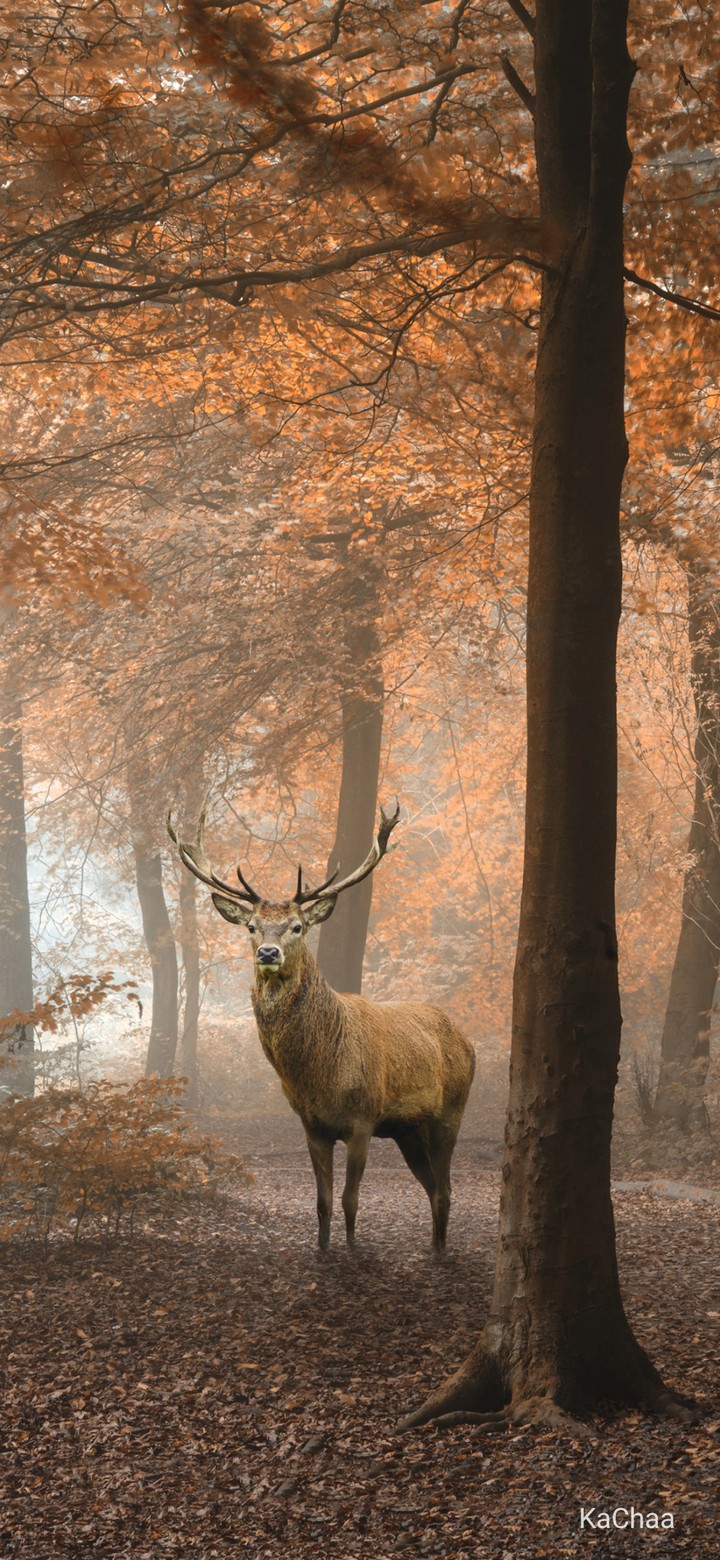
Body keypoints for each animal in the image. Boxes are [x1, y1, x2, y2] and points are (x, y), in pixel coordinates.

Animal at [167, 802, 475, 1253]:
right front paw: (323, 1250)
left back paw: (439, 1252)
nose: (268, 952)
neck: (321, 1074)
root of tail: (468, 1041)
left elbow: (350, 1200)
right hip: (408, 1131)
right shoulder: (311, 1125)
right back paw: (434, 1249)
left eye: (298, 926)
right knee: (433, 1187)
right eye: (251, 926)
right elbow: (323, 1203)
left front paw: (351, 1250)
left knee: (446, 1189)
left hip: (451, 1110)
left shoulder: (363, 1120)